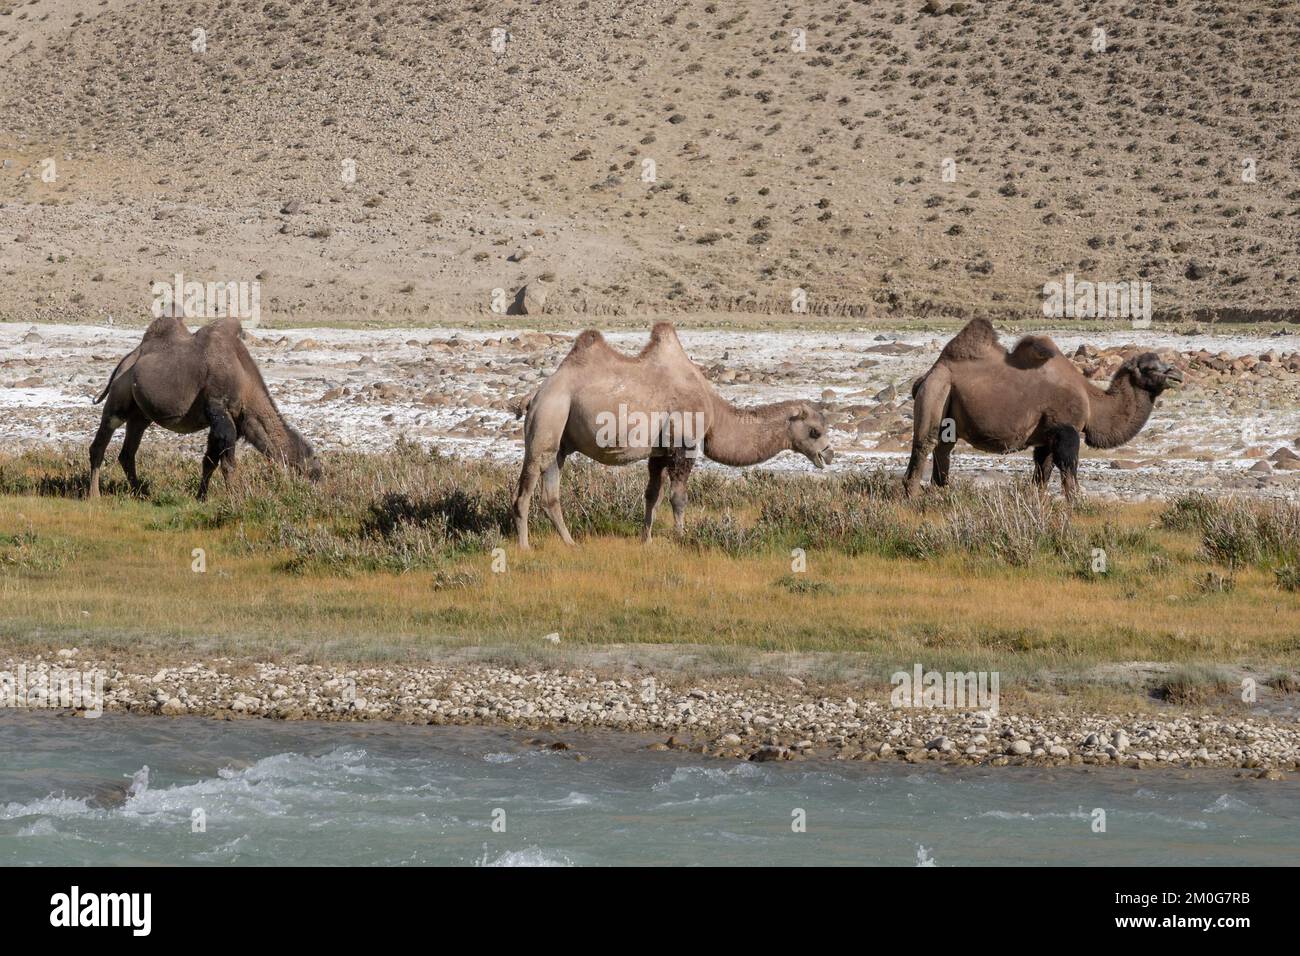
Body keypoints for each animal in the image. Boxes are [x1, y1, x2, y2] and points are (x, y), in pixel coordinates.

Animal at [89, 319, 319, 504]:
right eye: (313, 472)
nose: (317, 491)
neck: (245, 382)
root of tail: (128, 358)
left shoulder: (229, 422)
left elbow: (209, 462)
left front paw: (201, 498)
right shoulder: (219, 410)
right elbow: (228, 463)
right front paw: (235, 498)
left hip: (140, 415)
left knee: (127, 453)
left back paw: (141, 493)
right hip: (119, 397)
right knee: (100, 443)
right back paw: (95, 495)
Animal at [506, 321, 832, 546]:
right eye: (815, 431)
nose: (828, 455)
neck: (714, 409)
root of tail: (535, 395)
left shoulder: (659, 451)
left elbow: (652, 494)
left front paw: (646, 539)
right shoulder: (683, 443)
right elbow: (678, 497)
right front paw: (682, 536)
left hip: (560, 437)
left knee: (550, 492)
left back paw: (571, 543)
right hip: (549, 416)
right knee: (526, 485)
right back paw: (524, 546)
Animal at [904, 319, 1180, 496]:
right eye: (1150, 368)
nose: (1177, 375)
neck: (1091, 401)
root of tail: (926, 375)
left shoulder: (1045, 437)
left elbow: (1041, 475)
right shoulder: (1066, 428)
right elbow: (1068, 469)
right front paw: (1074, 506)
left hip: (948, 410)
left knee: (943, 449)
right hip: (936, 391)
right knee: (923, 445)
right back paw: (913, 499)